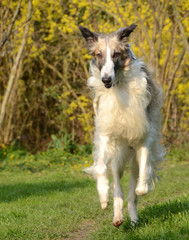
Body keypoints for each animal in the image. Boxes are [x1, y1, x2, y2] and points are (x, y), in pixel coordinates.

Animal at [79, 23, 165, 227]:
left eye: (116, 54)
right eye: (99, 54)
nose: (106, 79)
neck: (118, 86)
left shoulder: (143, 135)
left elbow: (142, 178)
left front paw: (143, 186)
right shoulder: (106, 134)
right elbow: (100, 168)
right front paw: (103, 197)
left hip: (132, 156)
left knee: (133, 191)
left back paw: (133, 219)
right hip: (117, 157)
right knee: (118, 188)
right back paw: (117, 217)